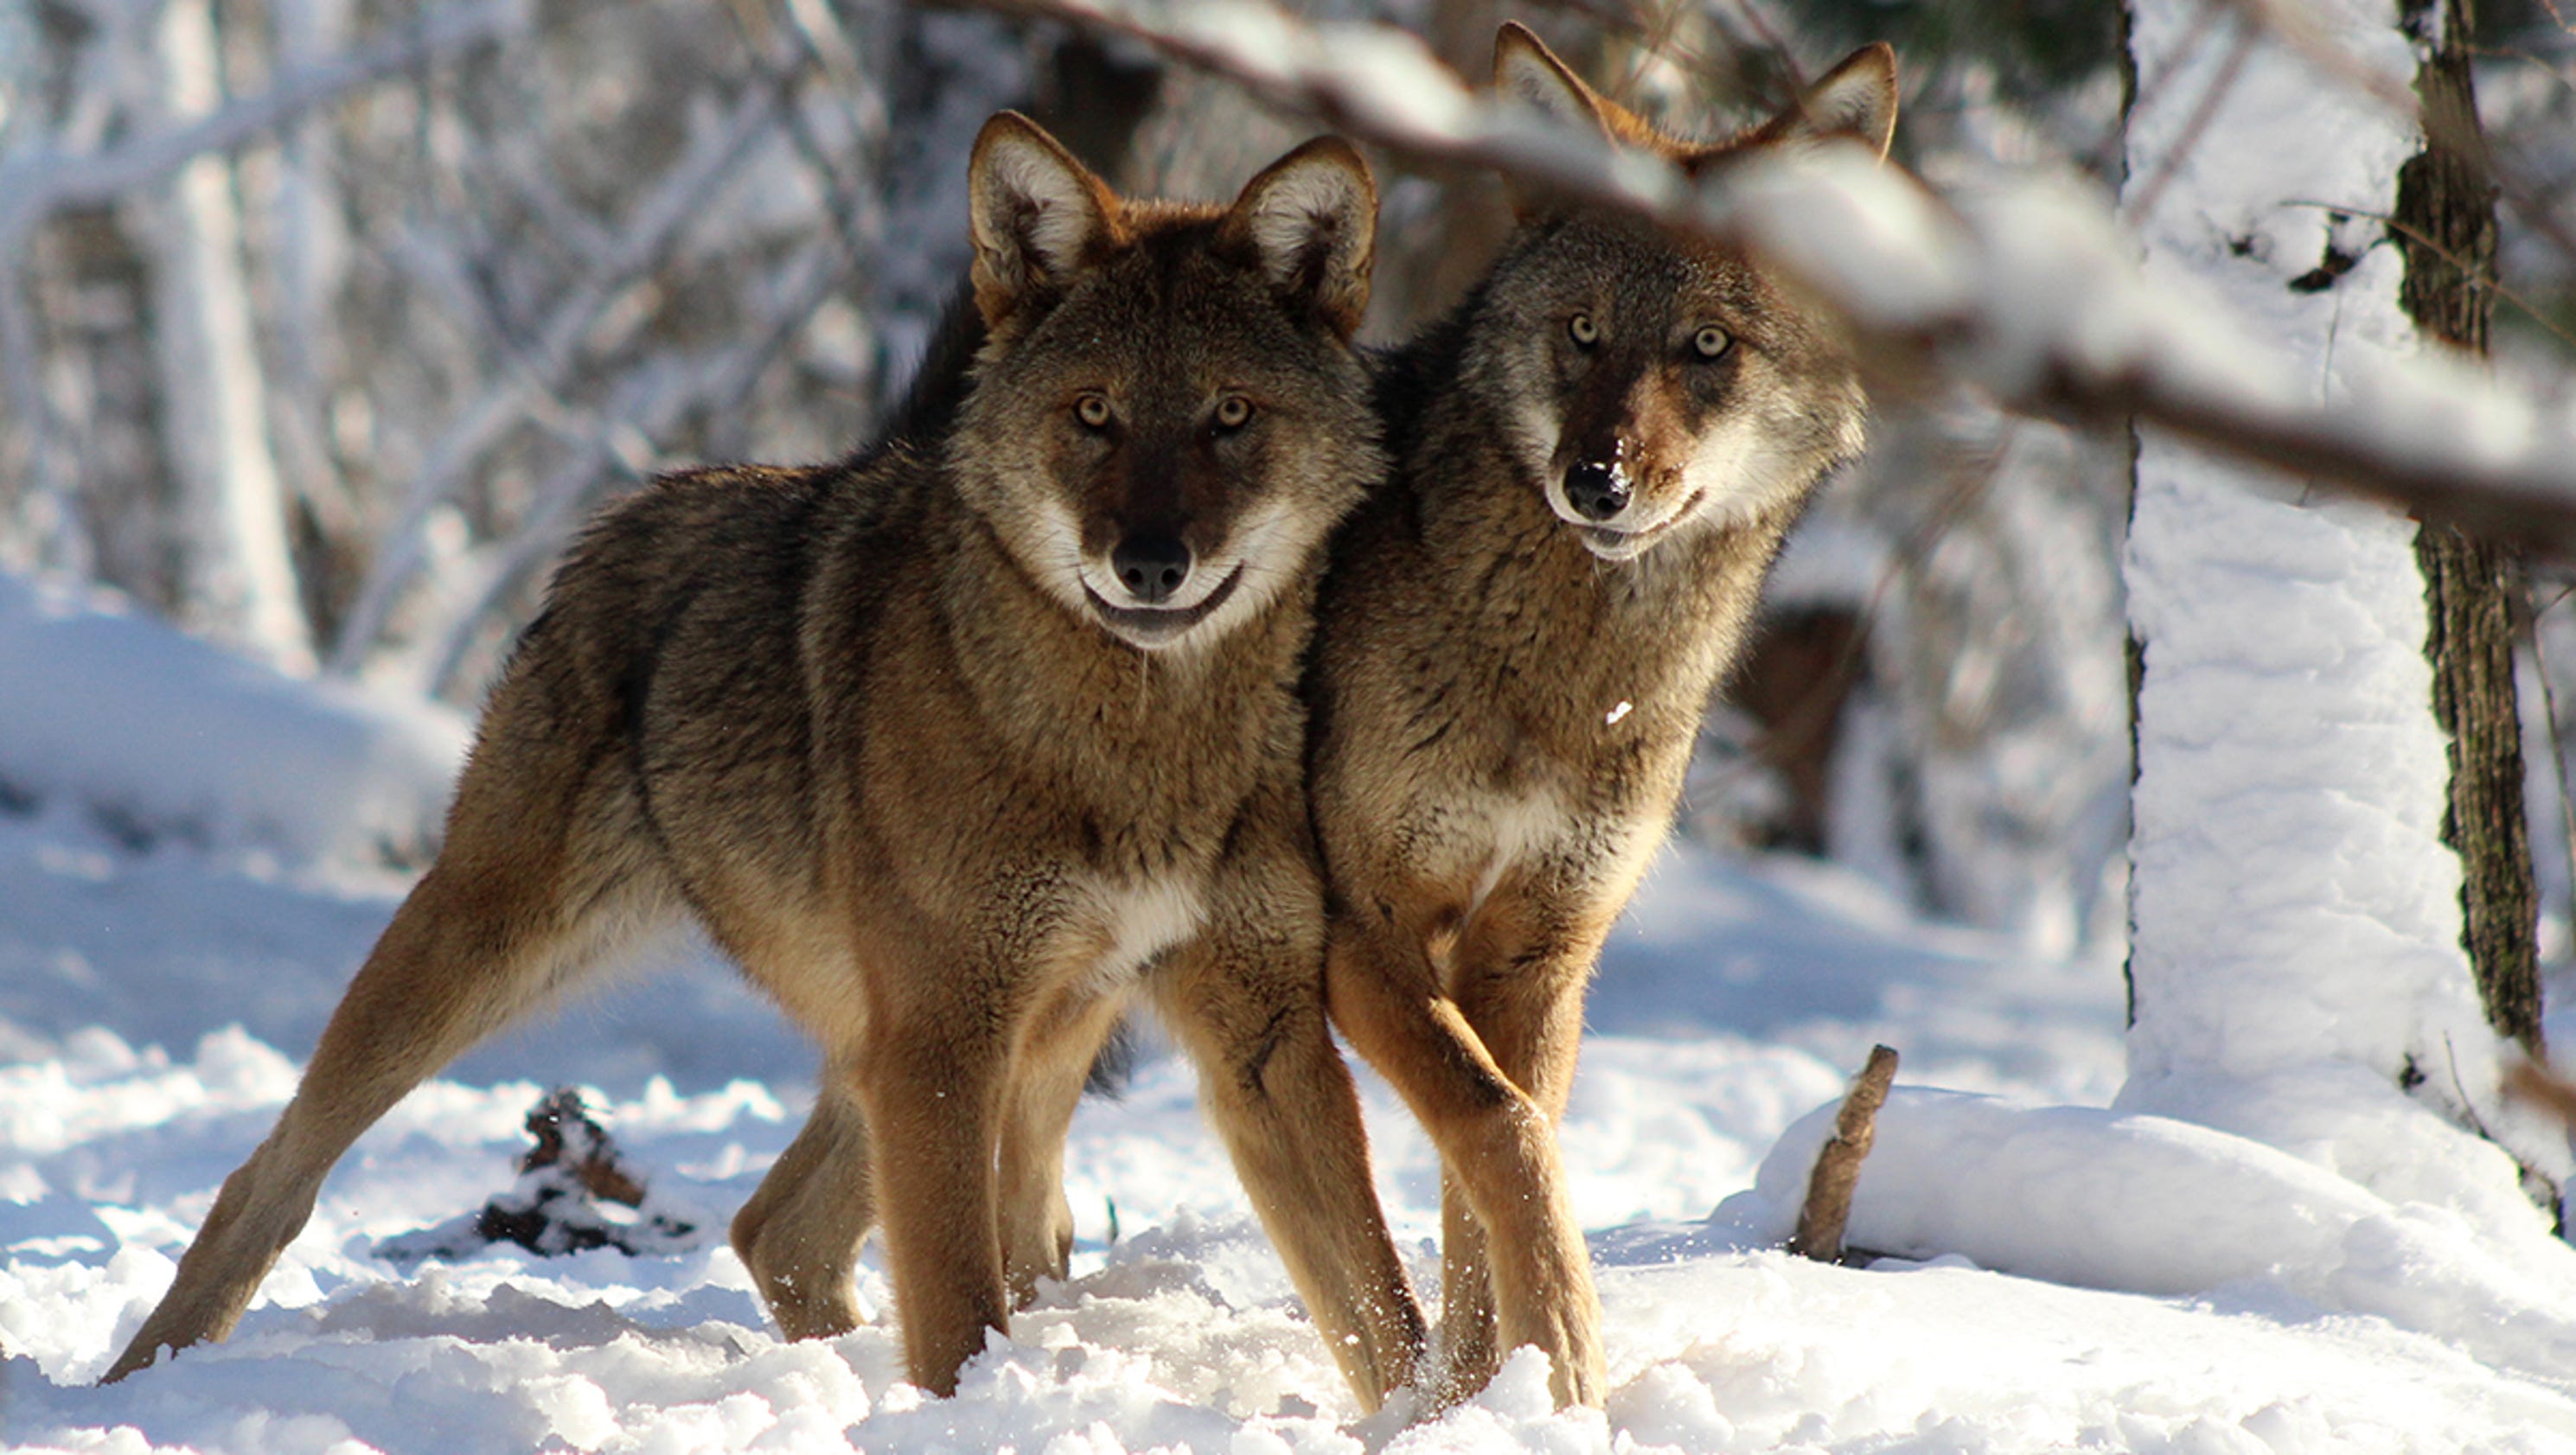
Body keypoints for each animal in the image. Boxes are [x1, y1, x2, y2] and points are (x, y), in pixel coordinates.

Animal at [100, 113, 1432, 1411]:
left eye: (1229, 416)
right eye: (1094, 413)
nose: (1149, 562)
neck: (1135, 740)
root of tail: (631, 512)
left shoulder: (1259, 1035)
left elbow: (1382, 1310)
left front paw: (1442, 1411)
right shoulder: (945, 1038)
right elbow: (959, 1307)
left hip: (1006, 1033)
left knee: (775, 1226)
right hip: (503, 952)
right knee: (269, 1175)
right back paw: (138, 1386)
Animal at [1308, 22, 1895, 1411]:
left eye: (1705, 347)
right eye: (1581, 332)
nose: (1596, 481)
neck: (1564, 667)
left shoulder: (1535, 952)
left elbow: (1487, 1179)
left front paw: (1493, 1392)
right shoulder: (1367, 925)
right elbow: (1503, 1128)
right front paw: (1563, 1360)